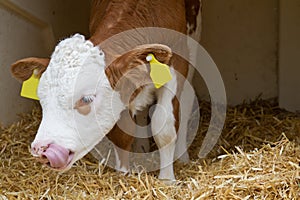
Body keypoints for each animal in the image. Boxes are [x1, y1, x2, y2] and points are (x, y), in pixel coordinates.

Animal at [10, 0, 202, 181]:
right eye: (42, 98)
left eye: (87, 99)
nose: (41, 149)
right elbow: (122, 134)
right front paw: (123, 174)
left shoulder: (176, 65)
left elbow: (164, 127)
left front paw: (167, 180)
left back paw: (183, 156)